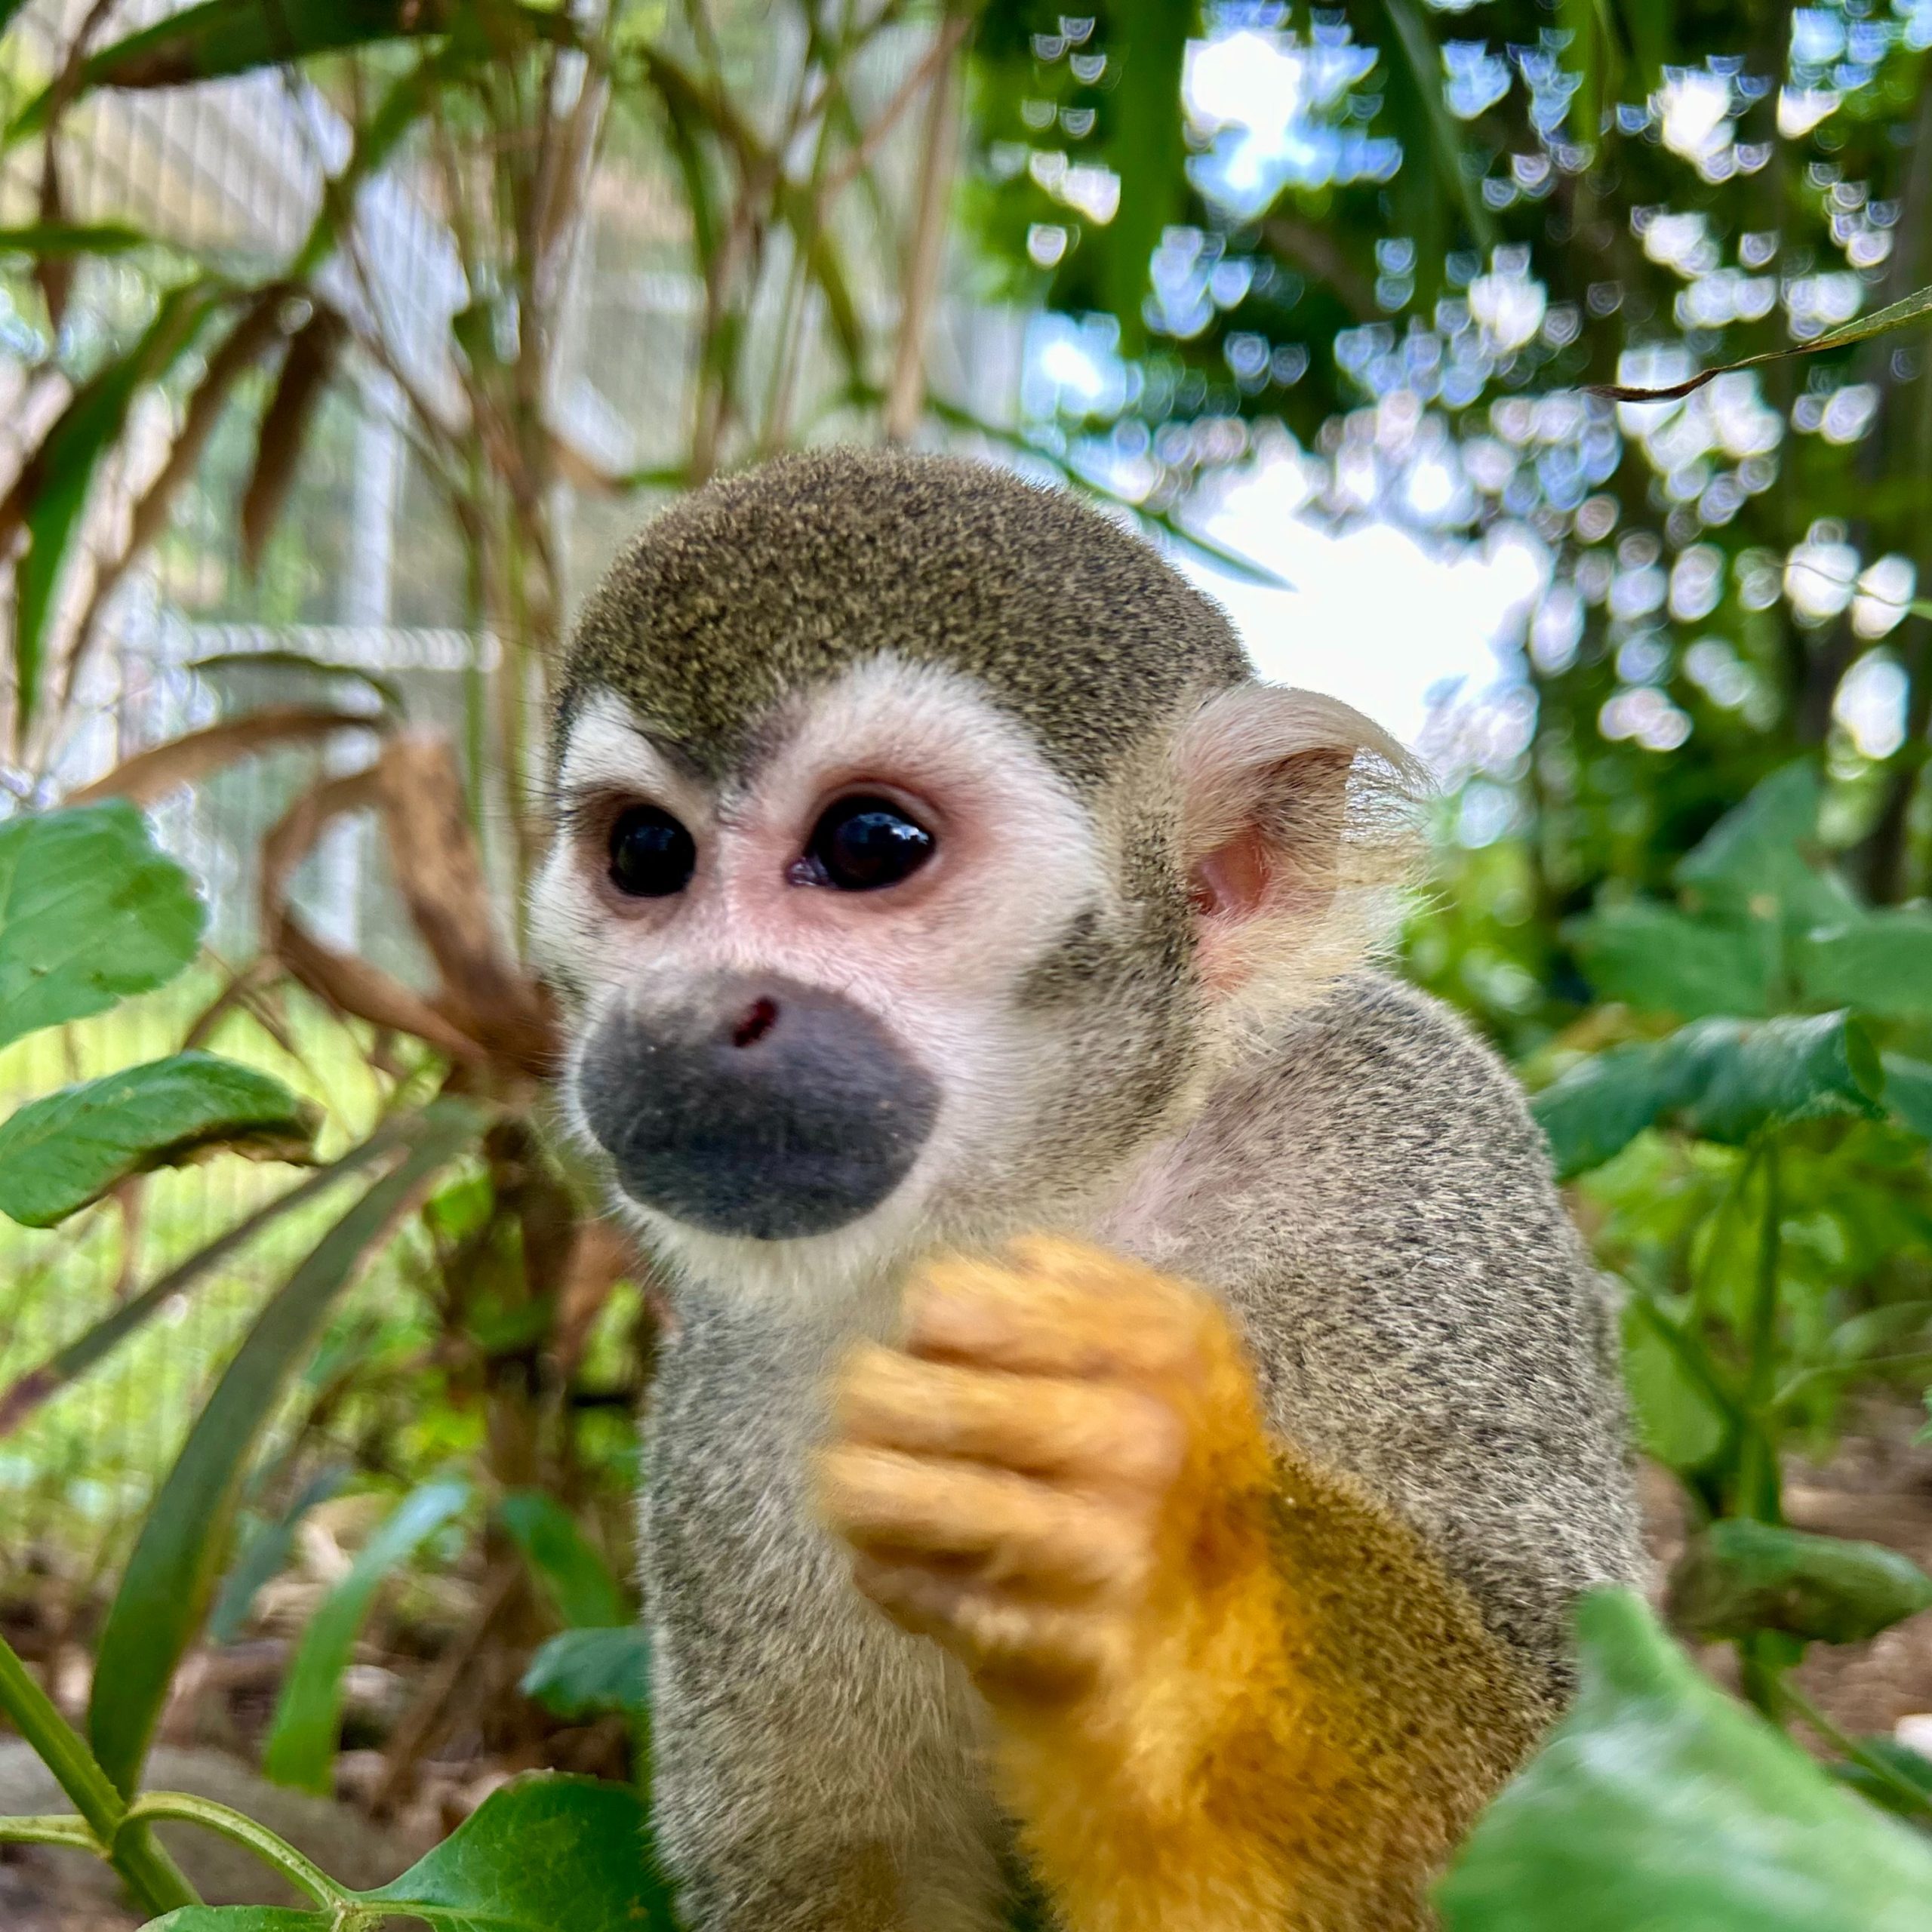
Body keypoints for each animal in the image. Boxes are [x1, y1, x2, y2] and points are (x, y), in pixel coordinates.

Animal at [528, 447, 1645, 1932]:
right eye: (647, 855)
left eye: (871, 841)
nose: (685, 1014)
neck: (1051, 1206)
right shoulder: (729, 1410)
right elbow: (834, 1874)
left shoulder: (1411, 1160)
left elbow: (1599, 1790)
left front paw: (1175, 1554)